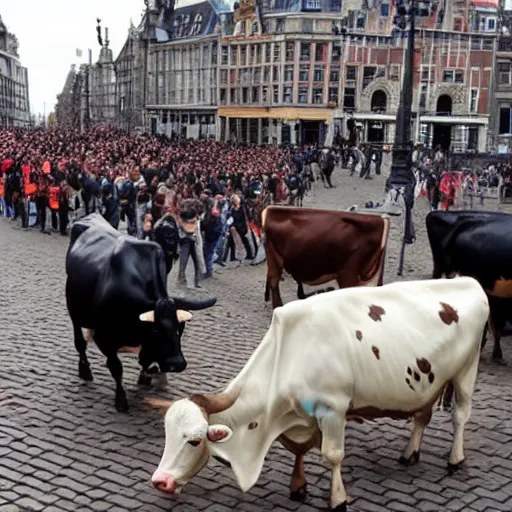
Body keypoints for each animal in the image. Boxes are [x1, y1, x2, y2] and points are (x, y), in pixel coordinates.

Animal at [65, 213, 215, 412]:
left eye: (179, 328)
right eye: (156, 329)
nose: (177, 363)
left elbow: (146, 361)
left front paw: (146, 377)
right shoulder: (105, 339)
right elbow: (116, 367)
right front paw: (121, 400)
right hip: (74, 309)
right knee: (80, 343)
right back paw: (85, 371)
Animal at [147, 278, 488, 510]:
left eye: (194, 440)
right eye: (167, 435)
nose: (159, 481)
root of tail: (467, 281)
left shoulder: (333, 409)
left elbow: (332, 455)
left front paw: (338, 499)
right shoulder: (300, 415)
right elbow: (299, 450)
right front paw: (298, 486)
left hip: (466, 370)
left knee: (460, 416)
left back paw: (455, 459)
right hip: (430, 382)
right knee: (422, 415)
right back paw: (409, 453)